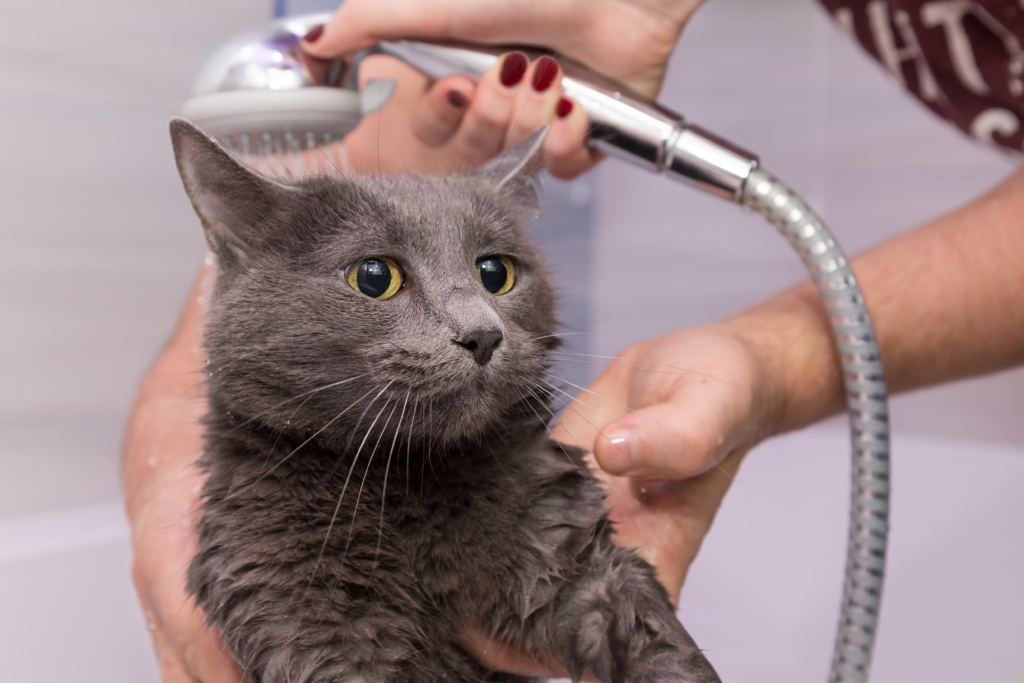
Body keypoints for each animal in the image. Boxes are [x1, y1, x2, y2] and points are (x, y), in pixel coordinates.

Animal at [169, 118, 720, 683]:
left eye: (496, 272)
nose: (483, 335)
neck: (415, 475)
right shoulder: (302, 610)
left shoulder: (568, 551)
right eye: (374, 276)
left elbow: (651, 635)